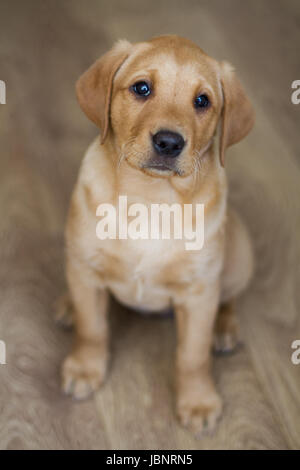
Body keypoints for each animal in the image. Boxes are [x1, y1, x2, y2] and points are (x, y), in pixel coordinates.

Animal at [58, 35, 253, 436]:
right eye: (141, 89)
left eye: (202, 101)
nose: (169, 142)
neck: (151, 198)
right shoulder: (86, 265)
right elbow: (92, 327)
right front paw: (85, 367)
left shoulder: (198, 293)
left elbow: (193, 356)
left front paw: (198, 401)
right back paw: (69, 305)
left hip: (239, 254)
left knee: (228, 296)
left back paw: (224, 328)